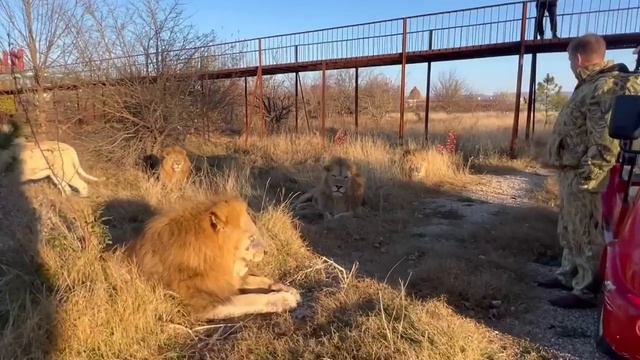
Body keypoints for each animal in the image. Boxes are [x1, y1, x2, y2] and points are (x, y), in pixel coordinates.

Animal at [127, 195, 302, 320]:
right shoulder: (203, 302)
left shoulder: (225, 280)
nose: (266, 251)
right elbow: (252, 298)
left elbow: (261, 280)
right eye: (251, 238)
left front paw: (288, 289)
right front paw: (284, 299)